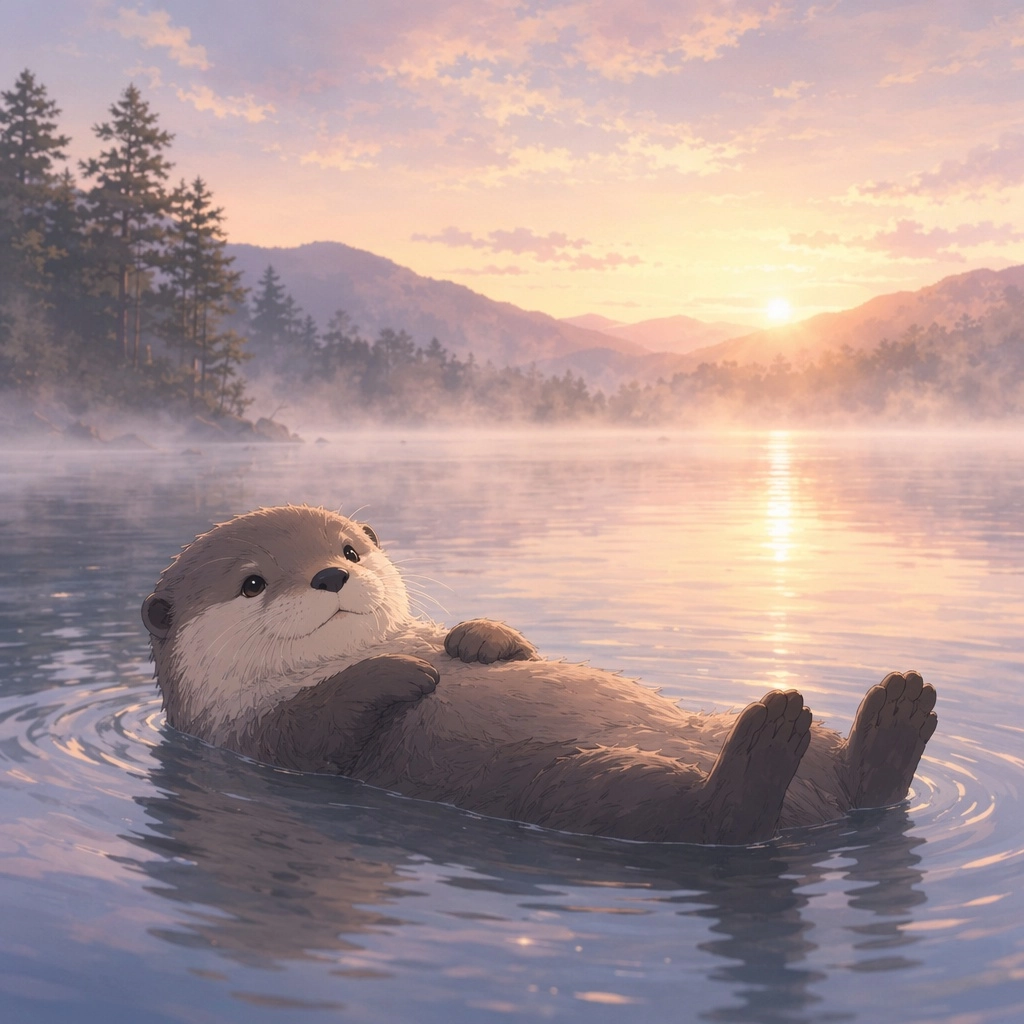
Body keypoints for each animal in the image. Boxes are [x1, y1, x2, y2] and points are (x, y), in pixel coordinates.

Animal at [141, 505, 937, 845]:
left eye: (349, 549)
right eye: (252, 583)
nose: (332, 575)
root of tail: (818, 810)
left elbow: (501, 642)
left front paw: (475, 641)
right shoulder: (250, 734)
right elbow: (323, 722)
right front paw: (402, 672)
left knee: (862, 779)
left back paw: (894, 713)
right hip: (587, 783)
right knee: (712, 820)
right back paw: (776, 738)